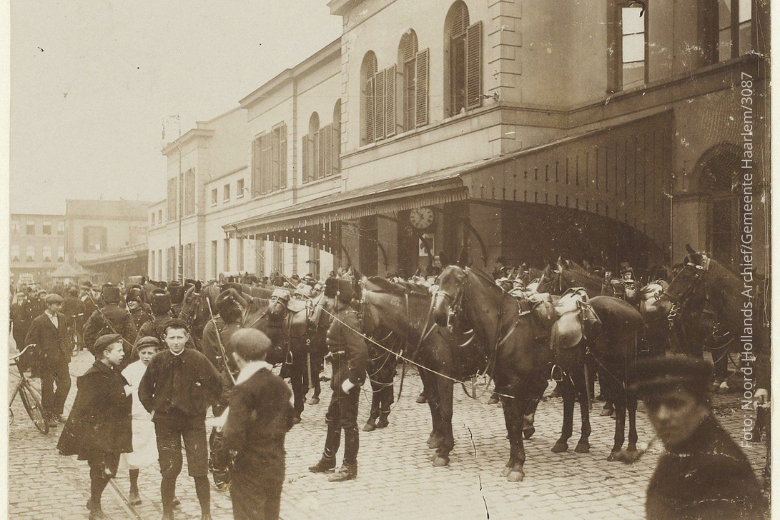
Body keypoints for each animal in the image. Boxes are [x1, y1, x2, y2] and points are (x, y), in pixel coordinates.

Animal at [432, 262, 548, 482]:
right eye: (439, 280)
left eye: (458, 282)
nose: (439, 315)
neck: (505, 326)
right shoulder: (503, 384)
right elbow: (511, 423)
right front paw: (512, 463)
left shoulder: (512, 384)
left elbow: (513, 421)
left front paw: (517, 466)